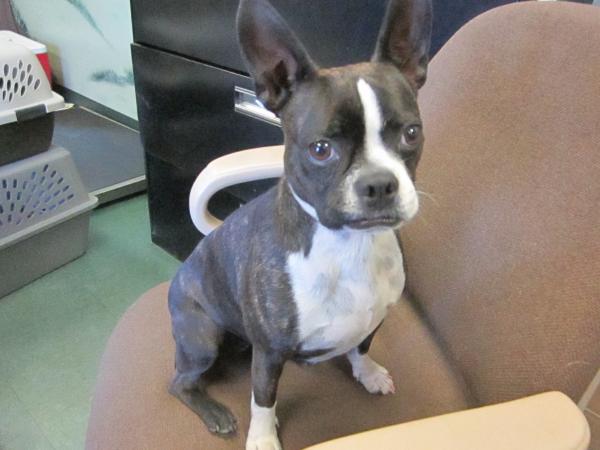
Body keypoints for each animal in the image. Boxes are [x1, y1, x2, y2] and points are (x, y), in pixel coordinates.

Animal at [168, 0, 432, 448]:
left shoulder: (373, 319)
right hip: (202, 338)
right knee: (181, 382)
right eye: (321, 149)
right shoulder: (270, 354)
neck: (350, 245)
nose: (379, 183)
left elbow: (361, 347)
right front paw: (263, 437)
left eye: (412, 133)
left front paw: (368, 372)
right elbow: (263, 398)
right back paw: (215, 413)